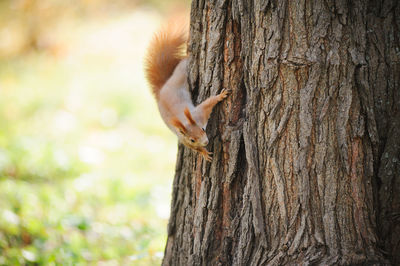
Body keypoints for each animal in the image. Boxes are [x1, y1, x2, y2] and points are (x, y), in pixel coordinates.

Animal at [145, 25, 230, 162]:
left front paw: (220, 96)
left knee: (184, 62)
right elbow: (195, 149)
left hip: (180, 72)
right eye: (192, 140)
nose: (206, 142)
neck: (186, 121)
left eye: (203, 129)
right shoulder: (183, 139)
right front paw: (203, 152)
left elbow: (208, 103)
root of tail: (161, 89)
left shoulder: (200, 113)